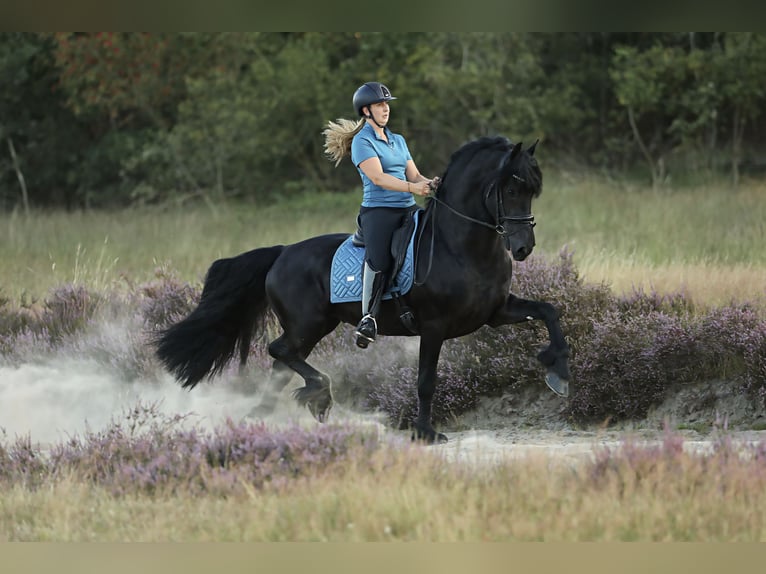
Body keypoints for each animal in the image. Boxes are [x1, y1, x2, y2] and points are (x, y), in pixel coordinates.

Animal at [154, 137, 568, 444]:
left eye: (532, 190)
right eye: (511, 188)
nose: (523, 248)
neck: (460, 246)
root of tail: (282, 253)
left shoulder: (495, 313)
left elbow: (550, 312)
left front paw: (559, 372)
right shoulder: (434, 326)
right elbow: (426, 381)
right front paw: (426, 432)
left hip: (310, 329)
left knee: (281, 363)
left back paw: (264, 415)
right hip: (308, 324)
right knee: (279, 351)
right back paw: (317, 397)